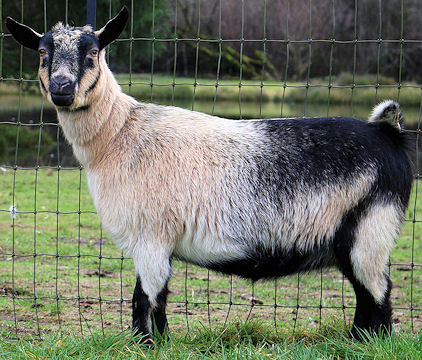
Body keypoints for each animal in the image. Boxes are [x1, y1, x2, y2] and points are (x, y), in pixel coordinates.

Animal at [7, 7, 416, 342]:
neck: (120, 134)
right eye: (42, 53)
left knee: (378, 294)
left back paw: (368, 342)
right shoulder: (157, 242)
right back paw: (355, 340)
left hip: (371, 229)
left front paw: (145, 345)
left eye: (92, 52)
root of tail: (387, 132)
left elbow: (145, 299)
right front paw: (158, 343)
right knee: (368, 295)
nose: (61, 88)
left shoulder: (151, 237)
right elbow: (155, 299)